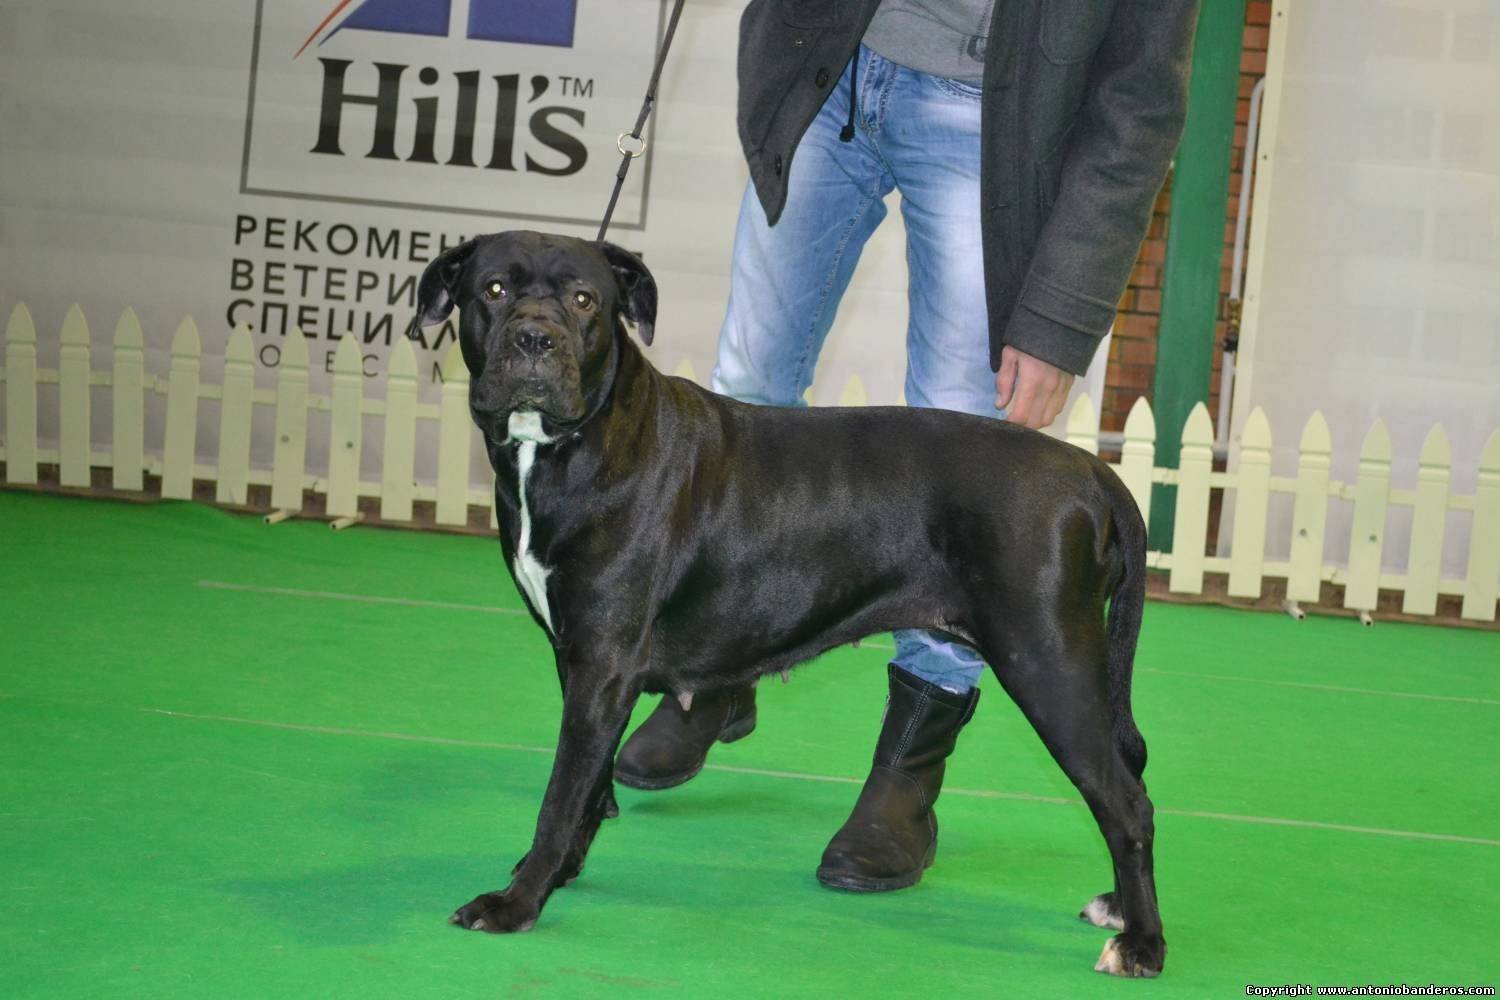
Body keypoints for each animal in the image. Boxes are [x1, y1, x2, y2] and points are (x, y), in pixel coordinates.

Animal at [417, 229, 1164, 977]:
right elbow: (589, 785)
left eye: (583, 300)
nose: (535, 339)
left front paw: (515, 903)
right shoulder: (582, 663)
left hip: (1048, 663)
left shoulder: (601, 666)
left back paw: (1142, 944)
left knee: (1126, 805)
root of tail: (1091, 470)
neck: (577, 443)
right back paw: (1119, 907)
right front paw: (557, 873)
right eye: (493, 290)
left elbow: (560, 793)